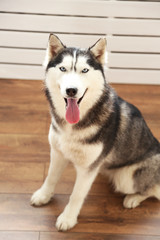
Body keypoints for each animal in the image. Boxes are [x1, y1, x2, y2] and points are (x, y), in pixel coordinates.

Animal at [31, 33, 160, 231]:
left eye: (84, 70)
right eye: (63, 68)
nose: (71, 90)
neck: (76, 124)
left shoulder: (87, 169)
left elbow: (76, 195)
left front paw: (68, 218)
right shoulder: (58, 152)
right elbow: (51, 177)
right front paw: (43, 195)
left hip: (126, 178)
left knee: (153, 189)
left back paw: (133, 198)